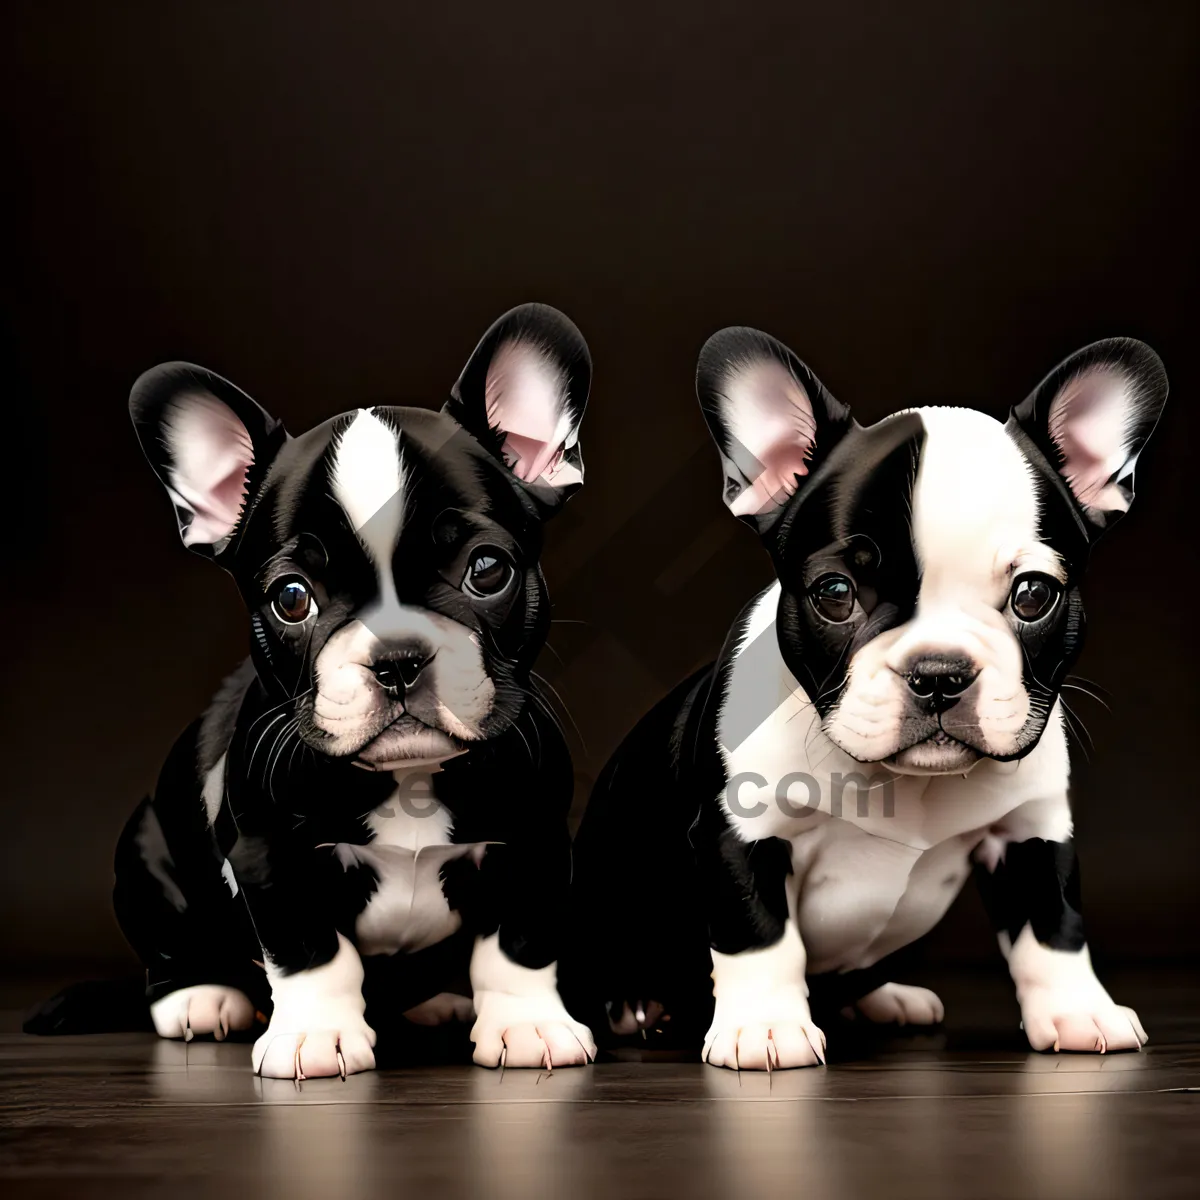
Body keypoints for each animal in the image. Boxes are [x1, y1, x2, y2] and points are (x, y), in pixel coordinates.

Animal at [85, 302, 600, 1080]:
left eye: (487, 570)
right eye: (292, 597)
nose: (397, 659)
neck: (408, 779)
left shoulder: (535, 839)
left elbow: (519, 943)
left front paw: (529, 1025)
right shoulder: (269, 857)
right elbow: (313, 952)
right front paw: (315, 1036)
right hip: (144, 853)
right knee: (176, 948)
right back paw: (201, 998)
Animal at [566, 326, 1166, 1070]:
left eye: (1033, 595)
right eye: (835, 593)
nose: (939, 672)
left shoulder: (1031, 831)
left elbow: (1053, 926)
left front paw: (1078, 1011)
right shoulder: (741, 835)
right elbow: (759, 933)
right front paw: (766, 1028)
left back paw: (886, 998)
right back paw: (636, 1006)